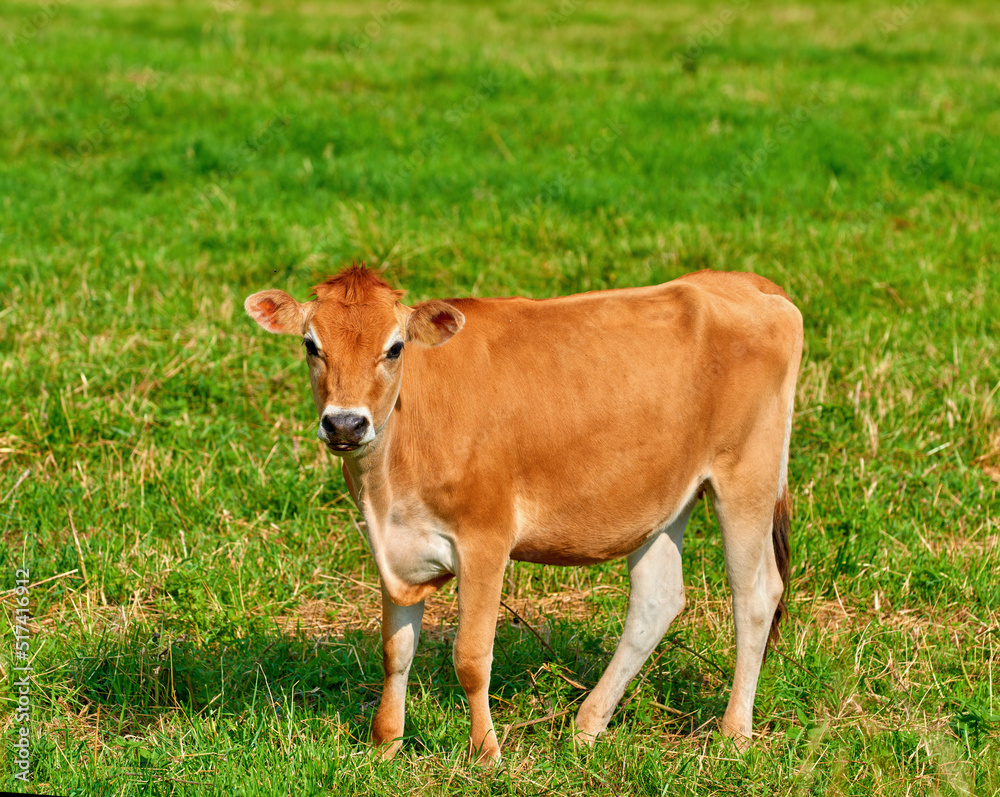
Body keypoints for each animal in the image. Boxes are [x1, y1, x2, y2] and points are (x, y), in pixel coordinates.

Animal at [248, 264, 804, 760]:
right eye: (311, 345)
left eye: (395, 347)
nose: (345, 424)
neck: (388, 482)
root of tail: (741, 282)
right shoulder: (391, 543)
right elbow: (395, 650)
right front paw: (385, 745)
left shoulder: (484, 539)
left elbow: (471, 656)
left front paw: (486, 753)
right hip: (666, 496)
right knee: (657, 600)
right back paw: (586, 728)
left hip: (746, 473)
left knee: (756, 597)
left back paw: (734, 735)